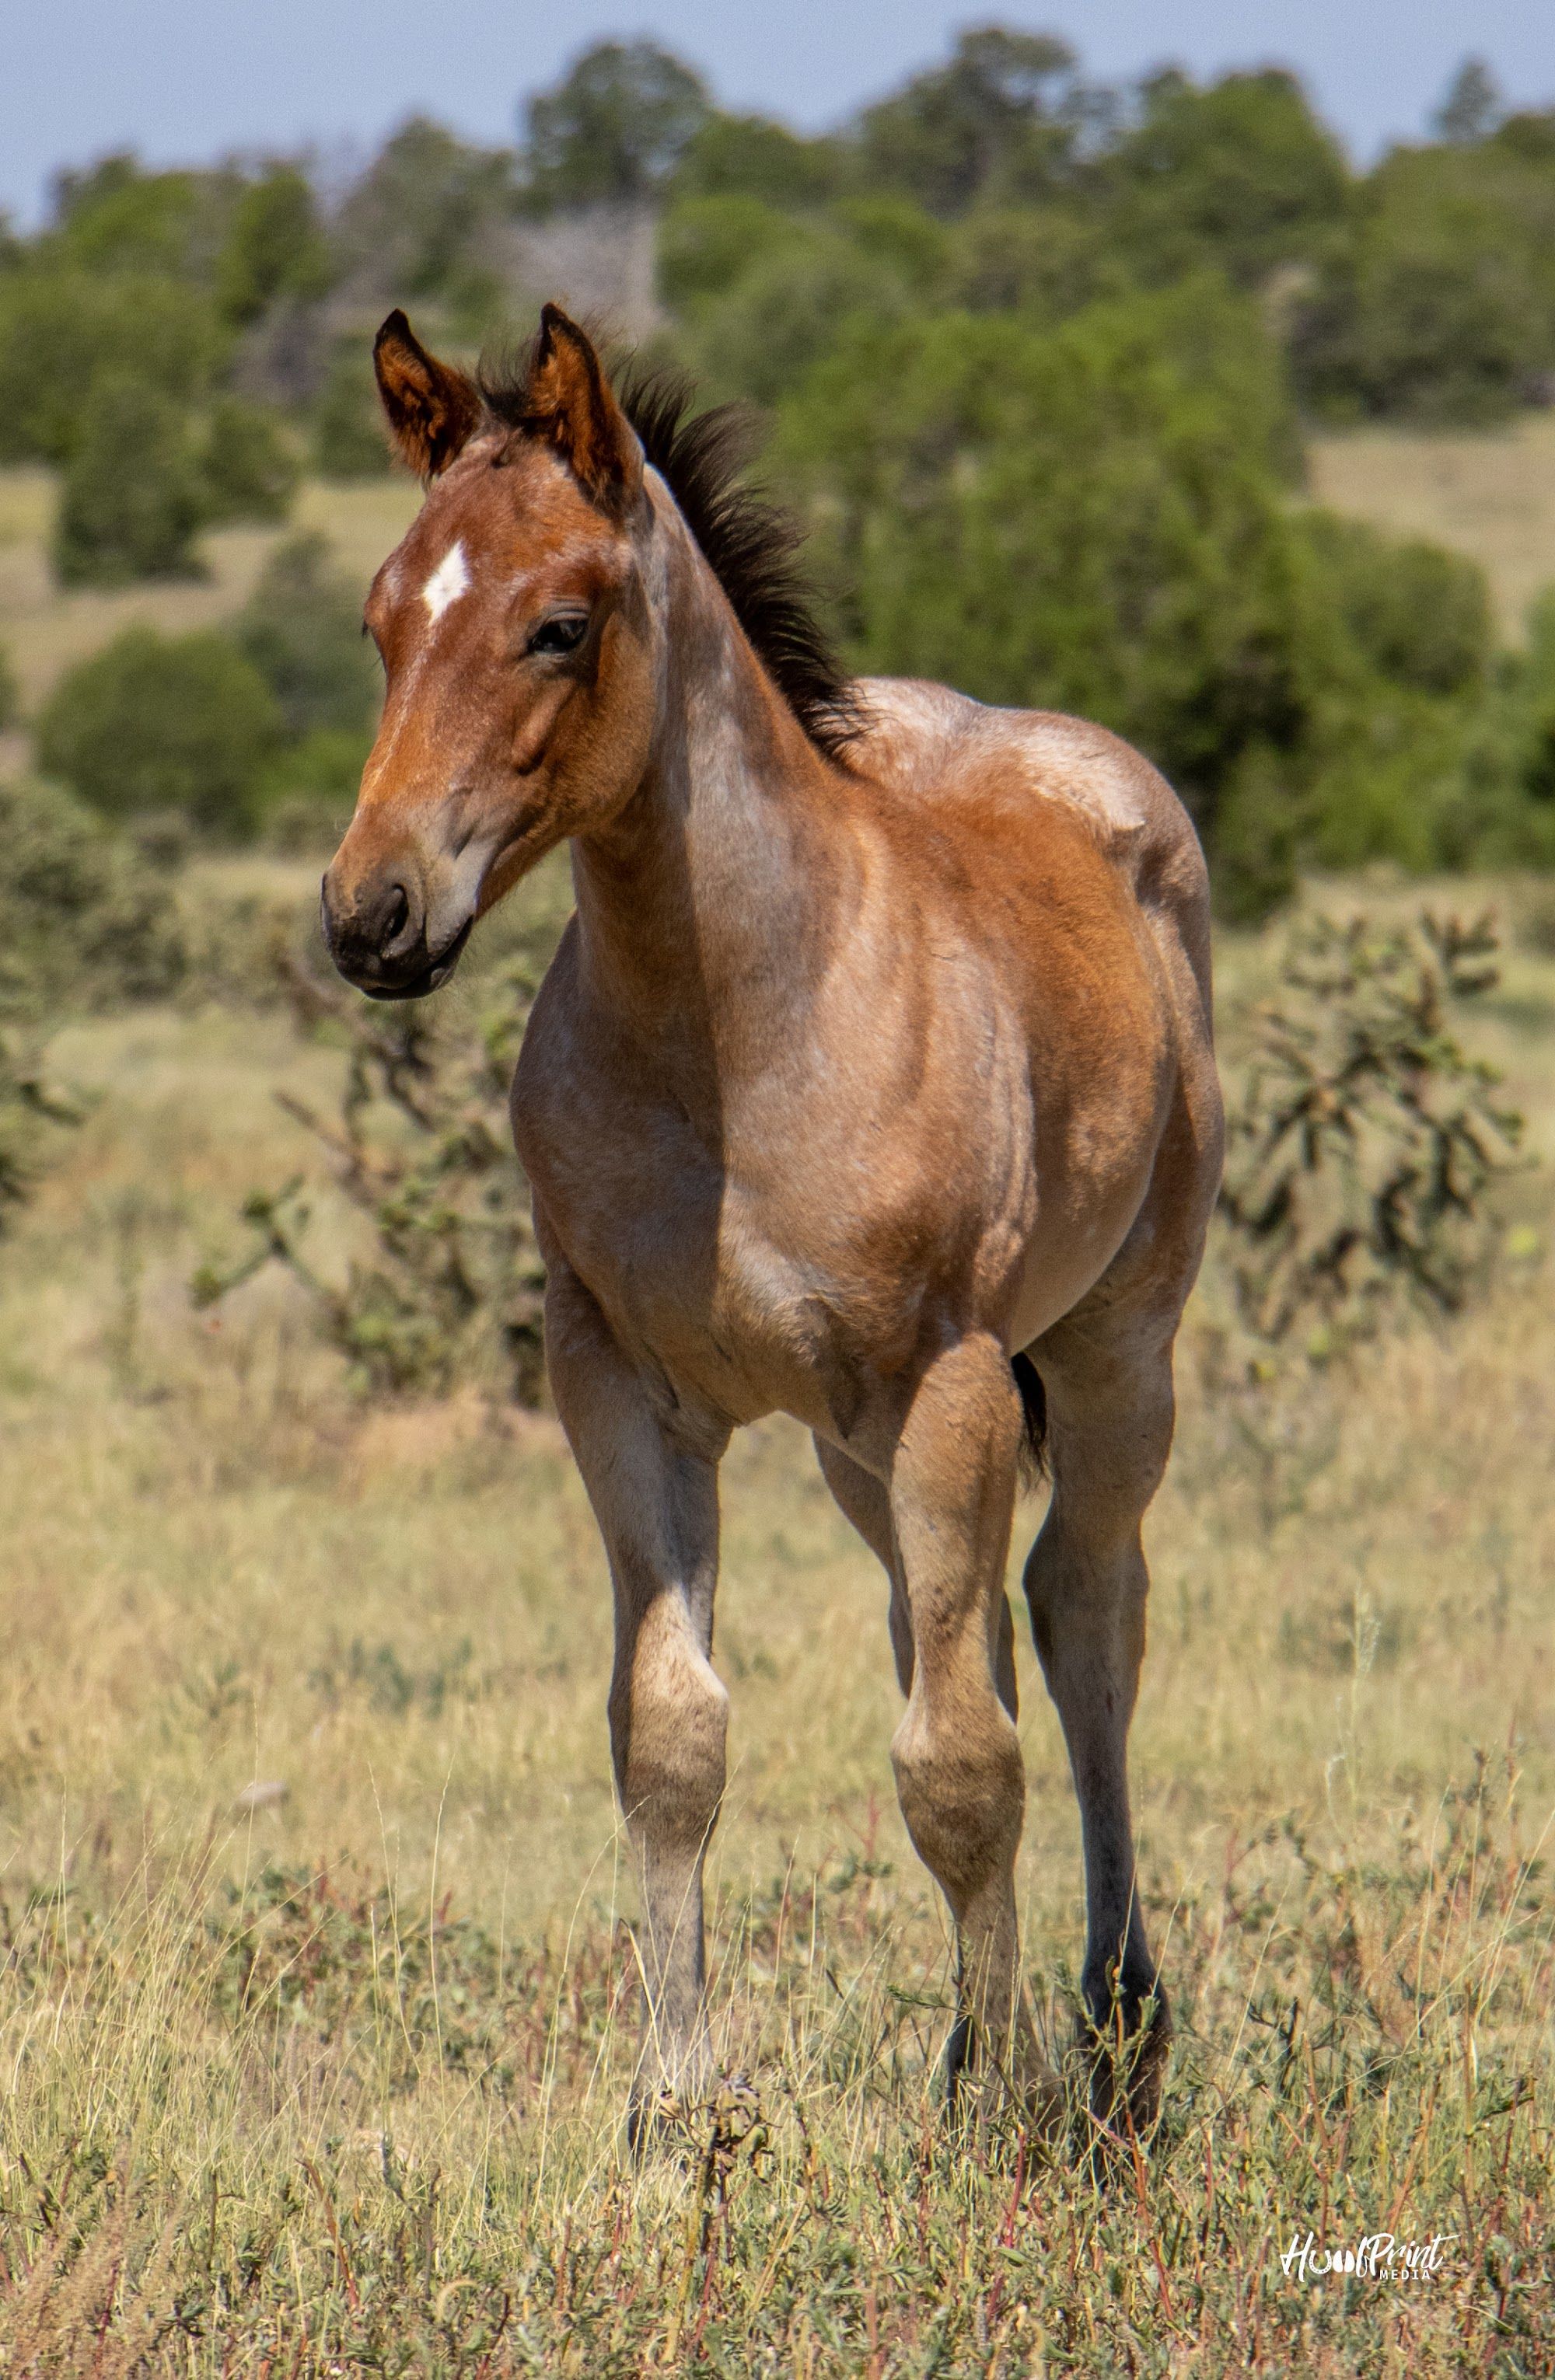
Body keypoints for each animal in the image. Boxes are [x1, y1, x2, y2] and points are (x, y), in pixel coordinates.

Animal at [320, 303, 1224, 2141]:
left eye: (559, 624)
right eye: (382, 616)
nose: (371, 913)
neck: (734, 1031)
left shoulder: (945, 1376)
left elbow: (962, 1764)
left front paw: (995, 2122)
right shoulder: (620, 1384)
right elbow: (671, 1737)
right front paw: (679, 2110)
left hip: (1110, 1357)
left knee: (1080, 1618)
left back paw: (1106, 2029)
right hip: (856, 1444)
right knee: (953, 1628)